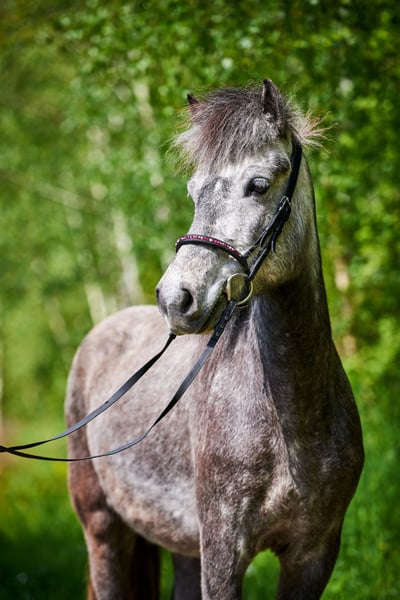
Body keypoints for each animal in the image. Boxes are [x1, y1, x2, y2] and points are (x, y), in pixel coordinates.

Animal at [65, 79, 364, 599]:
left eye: (258, 185)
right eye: (193, 191)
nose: (175, 298)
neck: (293, 424)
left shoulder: (314, 556)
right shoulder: (224, 551)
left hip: (181, 545)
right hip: (103, 529)